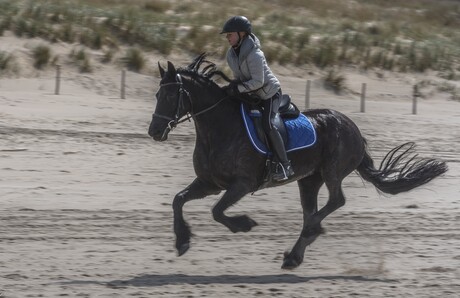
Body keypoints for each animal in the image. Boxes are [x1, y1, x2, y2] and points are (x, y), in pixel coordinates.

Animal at [148, 54, 450, 270]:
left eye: (171, 95)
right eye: (157, 95)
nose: (154, 131)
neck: (219, 128)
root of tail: (353, 128)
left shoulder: (241, 184)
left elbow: (217, 212)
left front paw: (243, 224)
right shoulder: (209, 183)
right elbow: (178, 200)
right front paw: (182, 241)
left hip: (332, 171)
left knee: (335, 202)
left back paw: (309, 233)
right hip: (309, 180)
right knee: (312, 210)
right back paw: (295, 255)